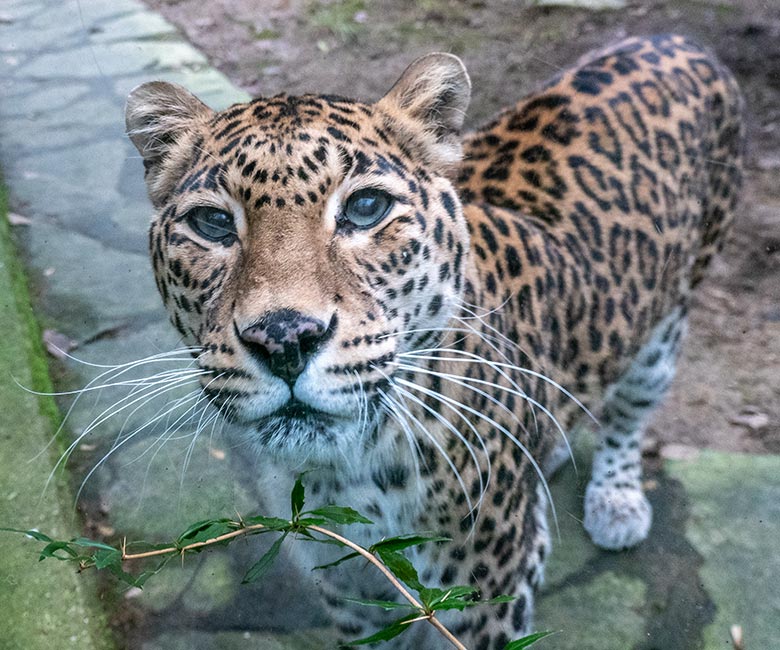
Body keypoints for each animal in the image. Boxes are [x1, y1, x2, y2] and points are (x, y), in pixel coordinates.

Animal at [126, 34, 744, 648]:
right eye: (211, 223)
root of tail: (675, 39)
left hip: (665, 327)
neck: (347, 471)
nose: (284, 338)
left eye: (366, 208)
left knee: (629, 412)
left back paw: (616, 499)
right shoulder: (349, 588)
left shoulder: (486, 594)